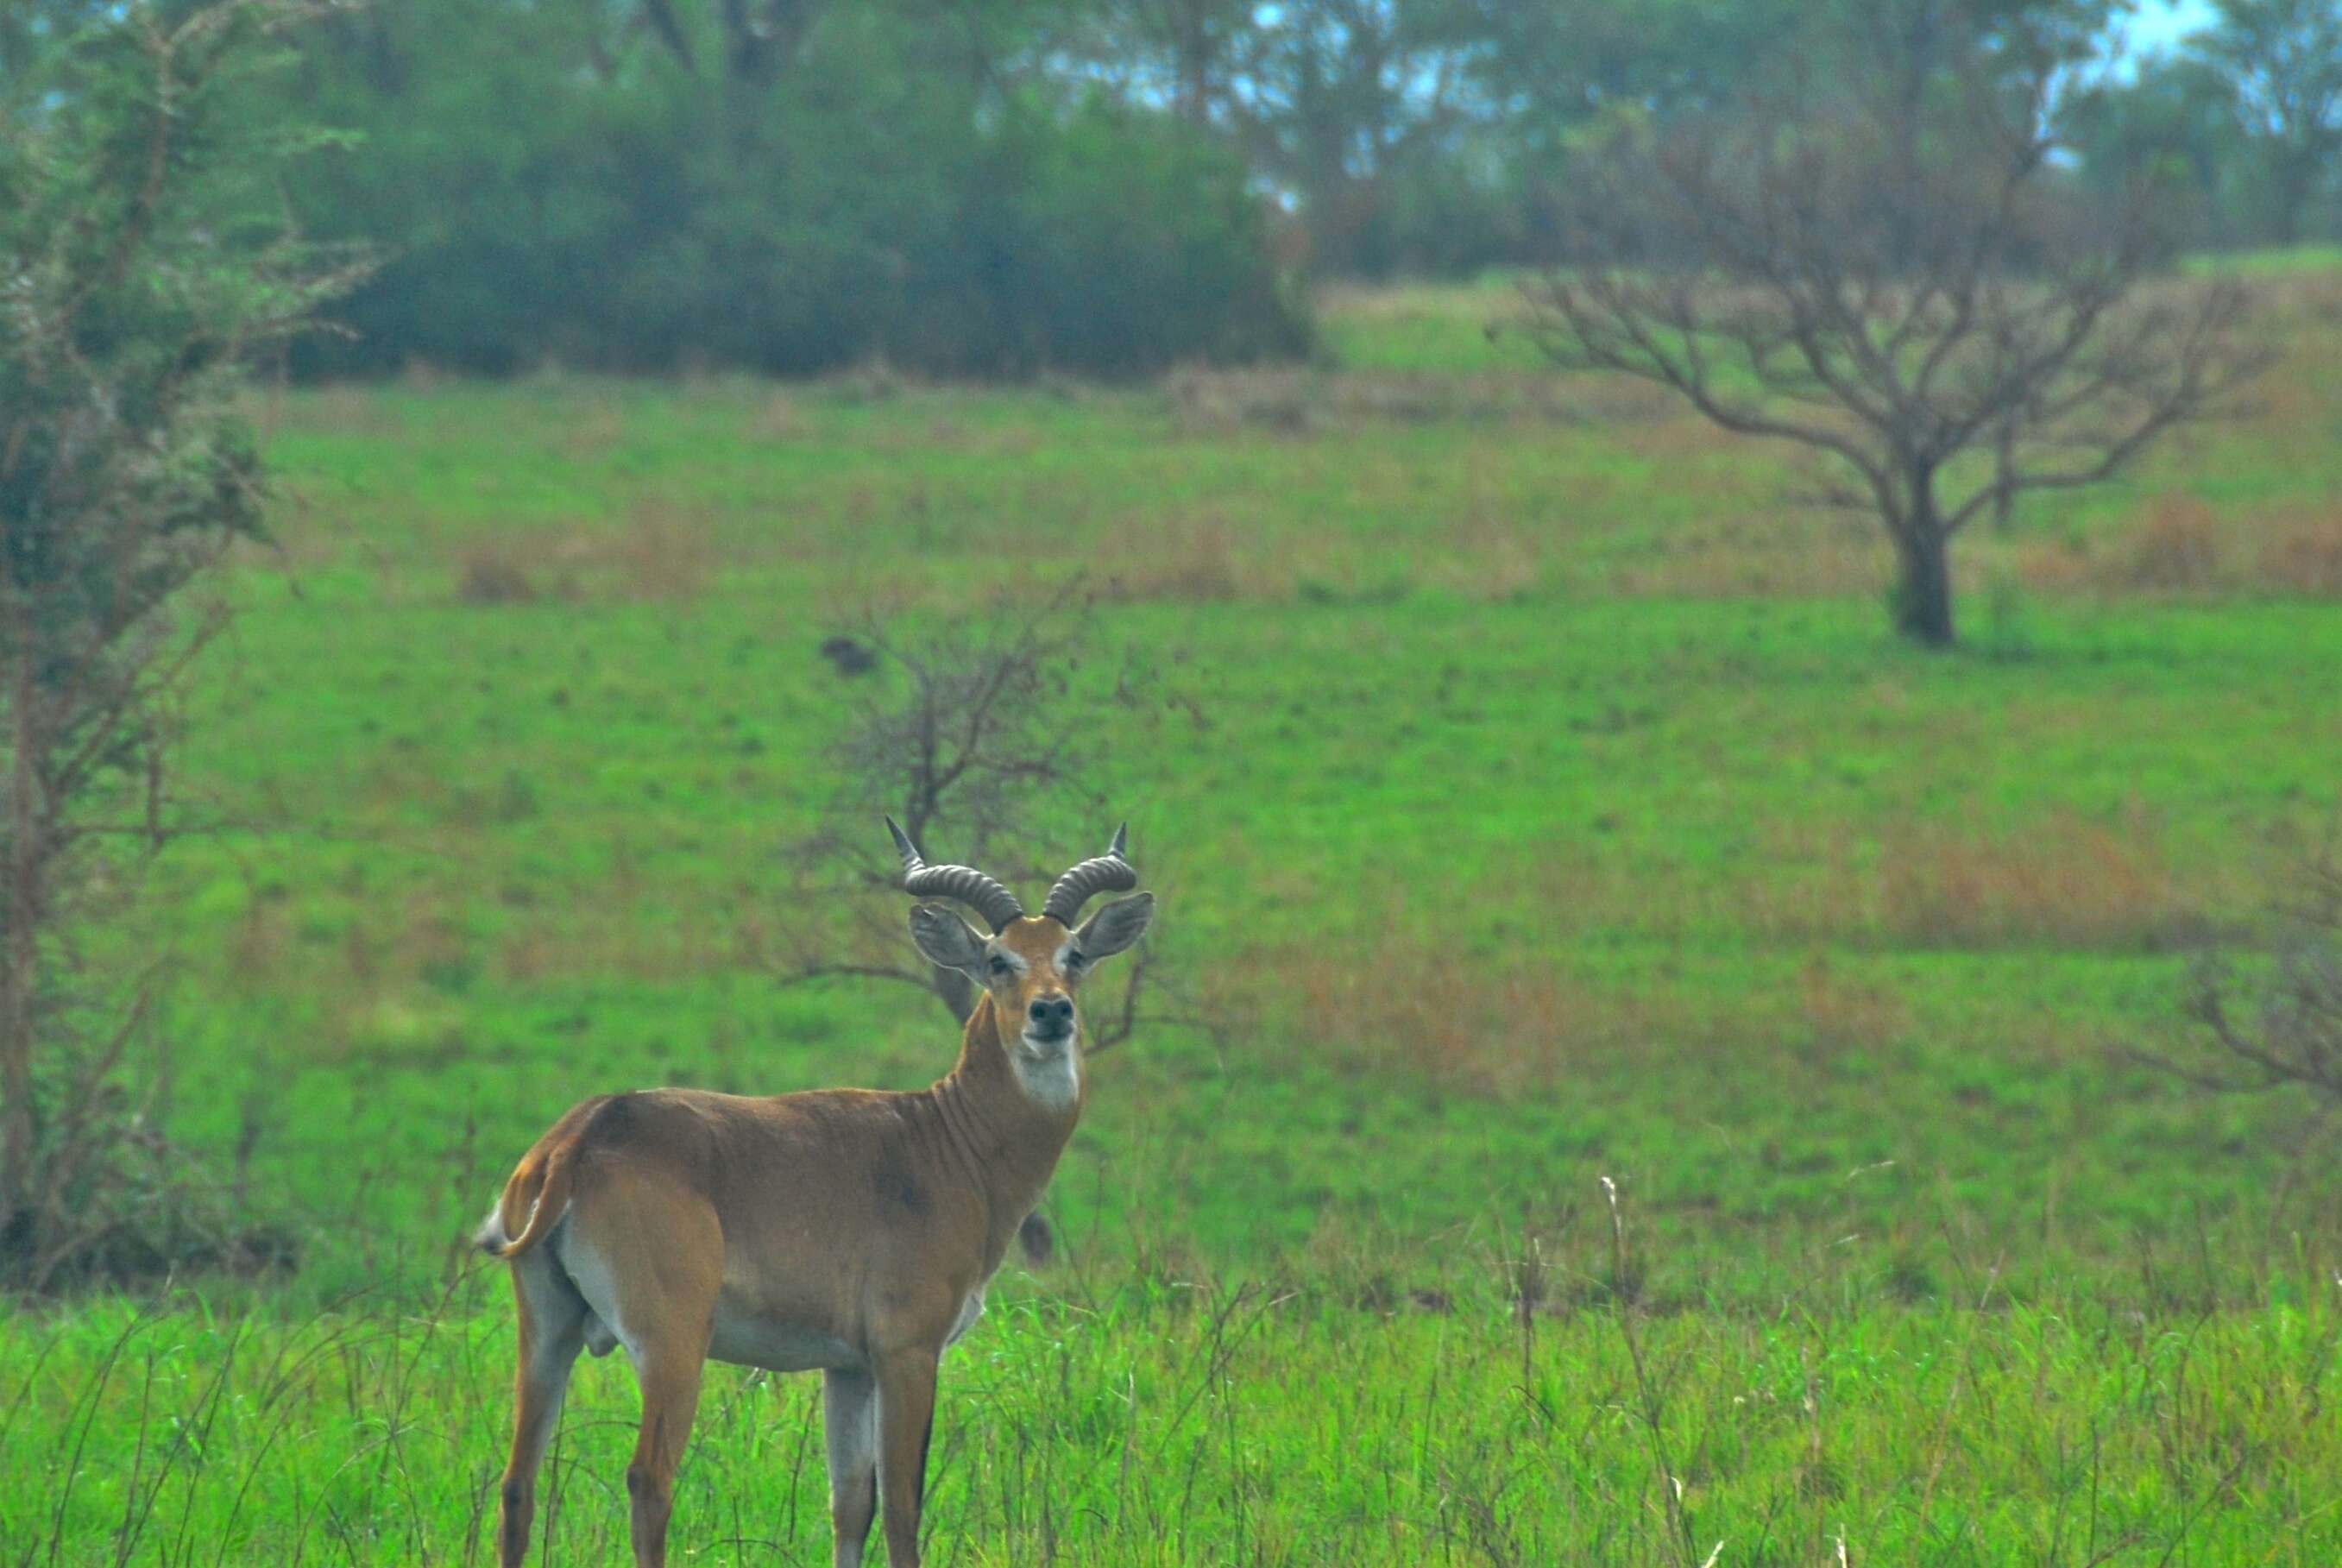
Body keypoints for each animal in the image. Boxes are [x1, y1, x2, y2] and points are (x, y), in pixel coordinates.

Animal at [475, 825, 1152, 1556]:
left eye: (1073, 953)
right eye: (999, 959)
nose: (1051, 1011)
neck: (948, 1141)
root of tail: (579, 1138)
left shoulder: (847, 1367)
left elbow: (850, 1503)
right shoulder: (906, 1351)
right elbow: (904, 1503)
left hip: (548, 1330)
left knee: (517, 1484)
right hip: (670, 1341)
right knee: (648, 1481)